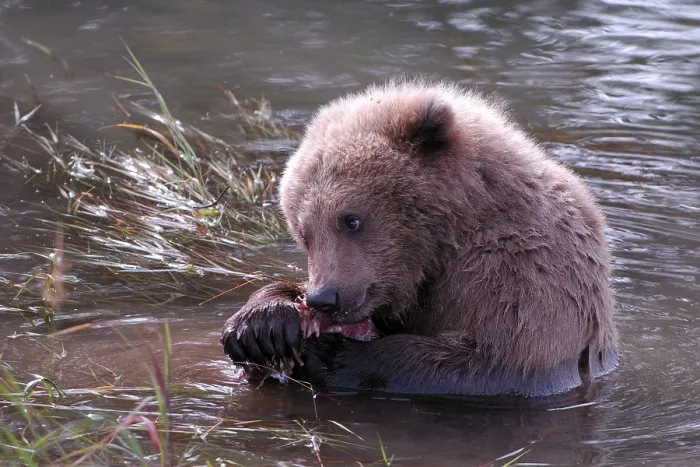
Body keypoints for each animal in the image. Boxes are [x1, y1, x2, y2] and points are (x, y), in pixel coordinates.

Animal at [220, 78, 620, 397]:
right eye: (304, 233)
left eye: (351, 220)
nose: (325, 298)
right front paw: (262, 326)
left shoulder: (523, 277)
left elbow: (492, 360)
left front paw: (329, 352)